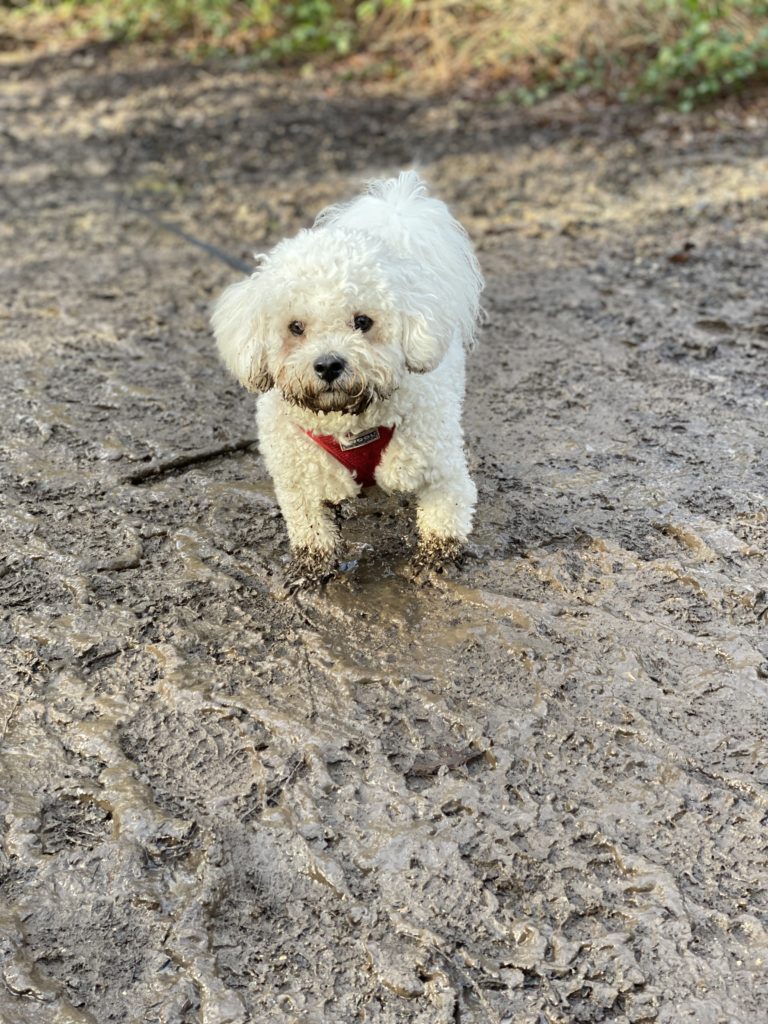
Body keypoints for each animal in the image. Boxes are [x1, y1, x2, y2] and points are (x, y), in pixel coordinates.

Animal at [210, 168, 483, 585]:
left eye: (363, 322)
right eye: (295, 327)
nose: (328, 365)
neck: (350, 423)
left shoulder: (439, 468)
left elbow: (445, 513)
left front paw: (435, 558)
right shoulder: (299, 477)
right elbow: (310, 528)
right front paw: (311, 571)